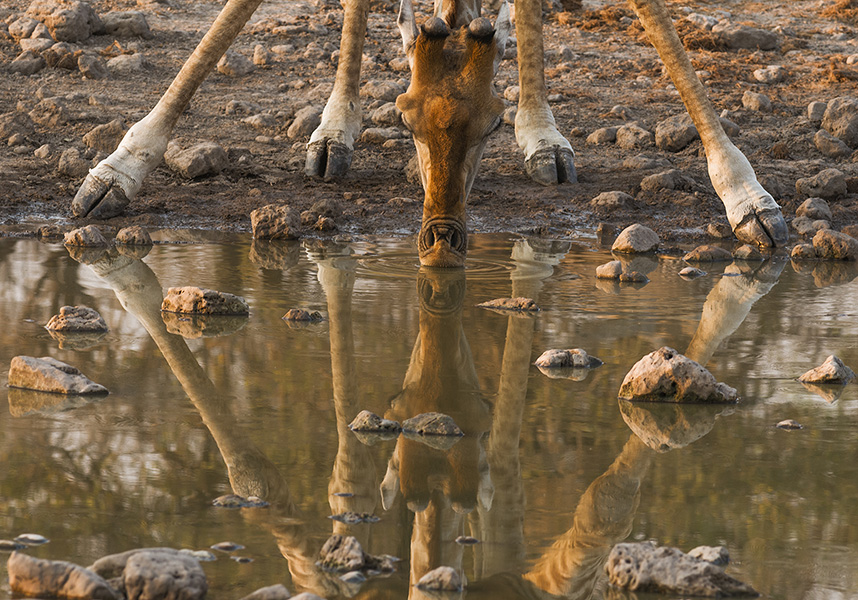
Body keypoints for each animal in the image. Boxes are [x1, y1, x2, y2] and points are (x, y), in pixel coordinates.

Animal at [71, 0, 788, 268]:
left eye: (492, 123)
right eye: (403, 115)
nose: (441, 241)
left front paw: (751, 203)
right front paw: (114, 175)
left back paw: (546, 140)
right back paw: (333, 135)